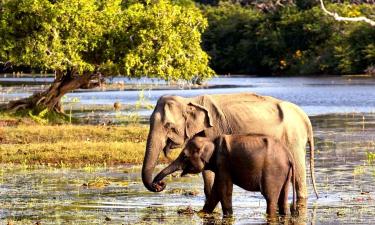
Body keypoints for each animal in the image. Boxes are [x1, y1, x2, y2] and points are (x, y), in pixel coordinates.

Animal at [142, 92, 318, 203]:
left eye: (168, 126)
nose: (160, 184)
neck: (189, 100)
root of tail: (305, 118)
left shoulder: (215, 129)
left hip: (294, 138)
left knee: (299, 175)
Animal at [153, 134, 296, 217]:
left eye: (184, 156)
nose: (160, 184)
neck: (211, 139)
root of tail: (289, 156)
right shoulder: (220, 165)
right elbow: (216, 190)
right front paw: (202, 213)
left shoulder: (223, 162)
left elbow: (223, 189)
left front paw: (228, 215)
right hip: (285, 174)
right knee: (283, 198)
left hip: (273, 172)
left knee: (270, 198)